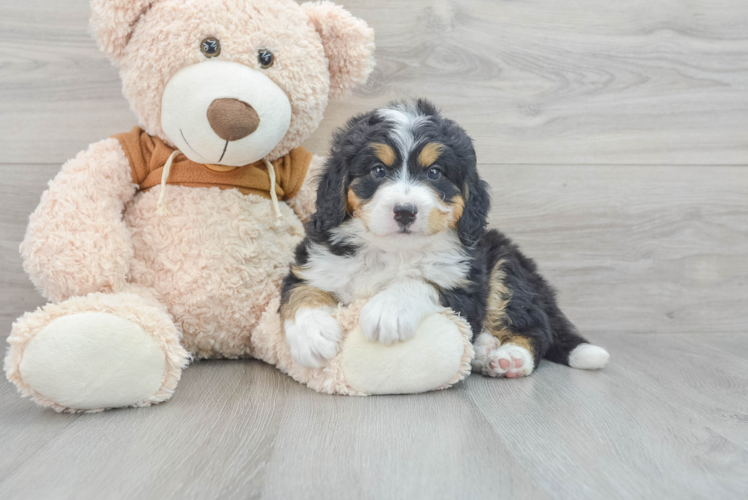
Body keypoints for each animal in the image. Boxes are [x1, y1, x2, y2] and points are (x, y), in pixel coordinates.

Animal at [280, 99, 608, 376]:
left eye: (435, 173)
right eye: (378, 170)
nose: (405, 211)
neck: (394, 251)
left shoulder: (464, 285)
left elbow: (421, 282)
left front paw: (388, 310)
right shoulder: (315, 263)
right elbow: (301, 293)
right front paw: (312, 336)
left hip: (506, 267)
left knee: (537, 328)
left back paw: (510, 357)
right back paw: (484, 348)